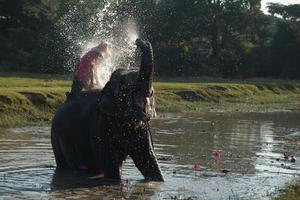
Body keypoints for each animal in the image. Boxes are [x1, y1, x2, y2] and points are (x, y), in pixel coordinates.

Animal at [51, 38, 164, 181]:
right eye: (125, 89)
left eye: (152, 92)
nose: (138, 40)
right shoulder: (100, 124)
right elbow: (111, 163)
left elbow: (148, 160)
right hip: (57, 138)